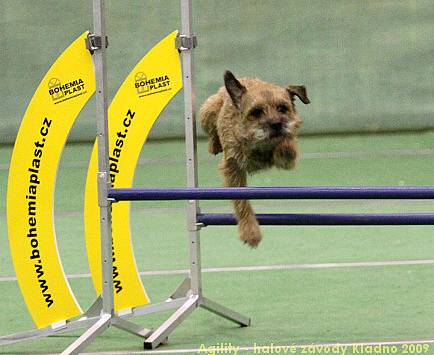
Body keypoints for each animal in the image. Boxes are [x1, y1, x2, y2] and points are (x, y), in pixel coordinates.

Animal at [200, 69, 308, 248]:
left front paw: (285, 144)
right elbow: (241, 202)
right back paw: (214, 145)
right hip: (208, 110)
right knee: (211, 130)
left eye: (282, 108)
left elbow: (287, 148)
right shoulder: (233, 167)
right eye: (256, 112)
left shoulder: (288, 159)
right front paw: (250, 231)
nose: (276, 124)